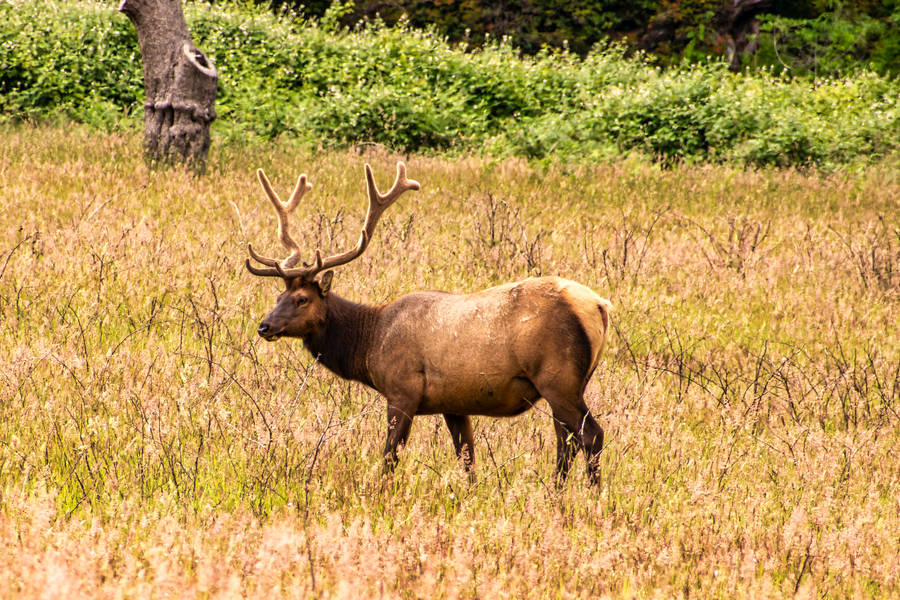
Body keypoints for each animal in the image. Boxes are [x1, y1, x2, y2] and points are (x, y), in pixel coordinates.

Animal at [245, 162, 612, 485]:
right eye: (278, 296)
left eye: (302, 299)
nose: (264, 327)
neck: (370, 342)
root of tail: (599, 305)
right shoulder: (454, 403)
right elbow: (467, 458)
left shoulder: (402, 390)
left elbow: (390, 456)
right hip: (569, 383)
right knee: (565, 442)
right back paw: (557, 492)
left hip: (558, 377)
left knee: (591, 435)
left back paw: (592, 495)